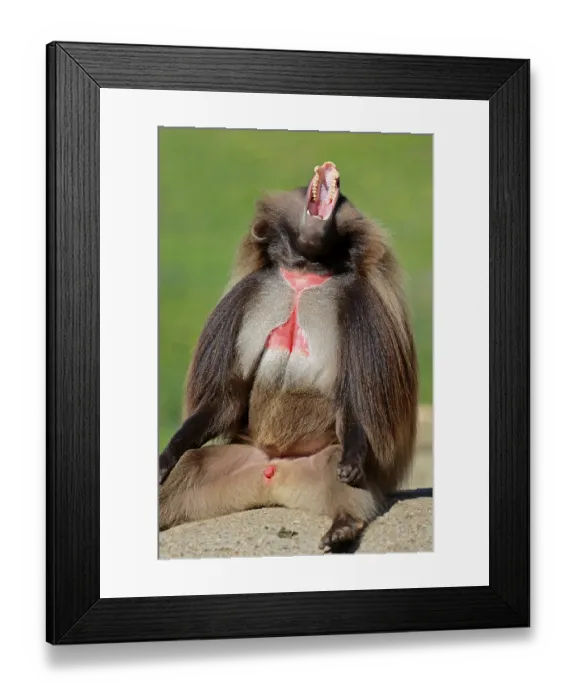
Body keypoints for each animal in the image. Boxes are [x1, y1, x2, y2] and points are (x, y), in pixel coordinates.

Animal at [158, 161, 419, 552]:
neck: (304, 272)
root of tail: (275, 475)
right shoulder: (244, 296)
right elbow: (226, 399)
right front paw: (166, 455)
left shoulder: (361, 308)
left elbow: (356, 398)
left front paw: (354, 461)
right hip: (240, 458)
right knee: (192, 464)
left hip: (320, 462)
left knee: (342, 476)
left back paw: (343, 526)